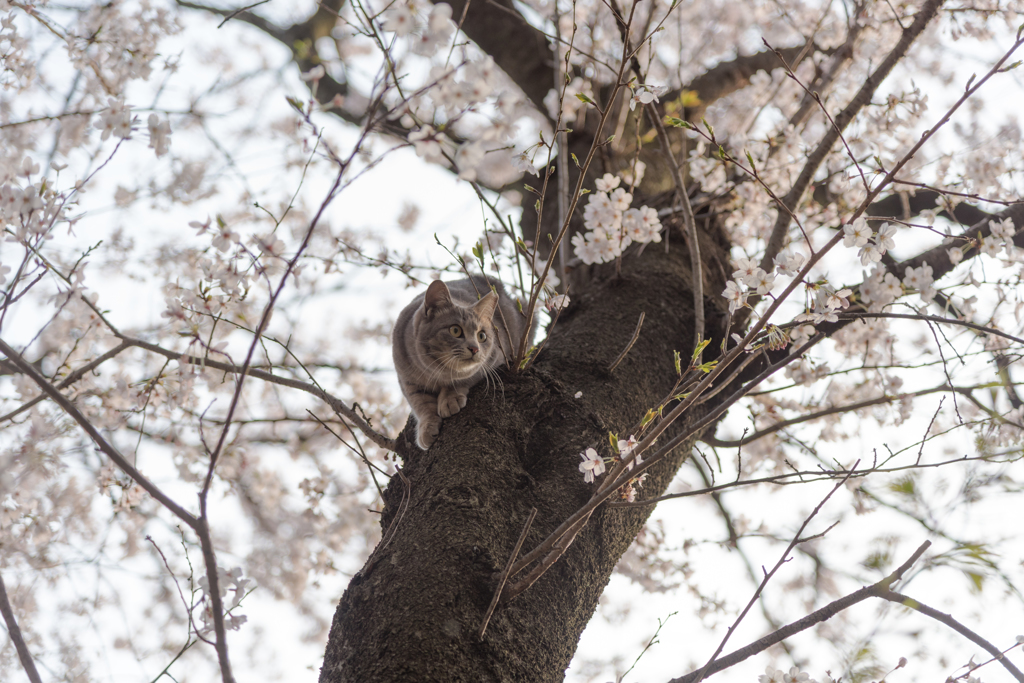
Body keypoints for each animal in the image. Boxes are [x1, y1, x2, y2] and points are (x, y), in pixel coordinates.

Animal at [391, 274, 532, 450]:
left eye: (482, 336)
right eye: (455, 330)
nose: (475, 349)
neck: (436, 373)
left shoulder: (492, 362)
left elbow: (461, 379)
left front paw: (449, 399)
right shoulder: (406, 379)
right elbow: (421, 403)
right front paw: (427, 428)